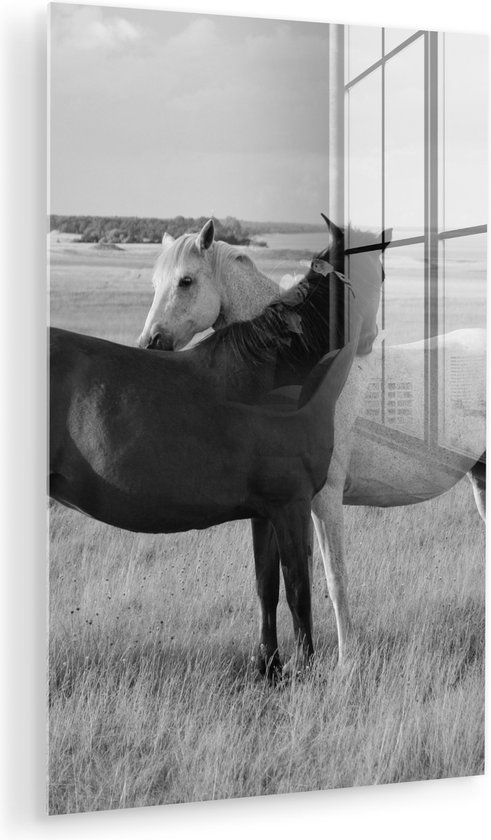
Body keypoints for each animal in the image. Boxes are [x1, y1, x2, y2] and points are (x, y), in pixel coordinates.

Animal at [50, 254, 365, 679]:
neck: (275, 373)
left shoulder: (265, 512)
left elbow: (266, 586)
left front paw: (270, 667)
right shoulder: (292, 505)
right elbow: (299, 589)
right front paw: (304, 670)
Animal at [141, 217, 485, 666]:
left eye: (186, 281)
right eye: (155, 282)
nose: (150, 343)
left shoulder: (323, 501)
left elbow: (332, 580)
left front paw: (345, 663)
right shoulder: (274, 506)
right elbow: (272, 582)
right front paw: (272, 660)